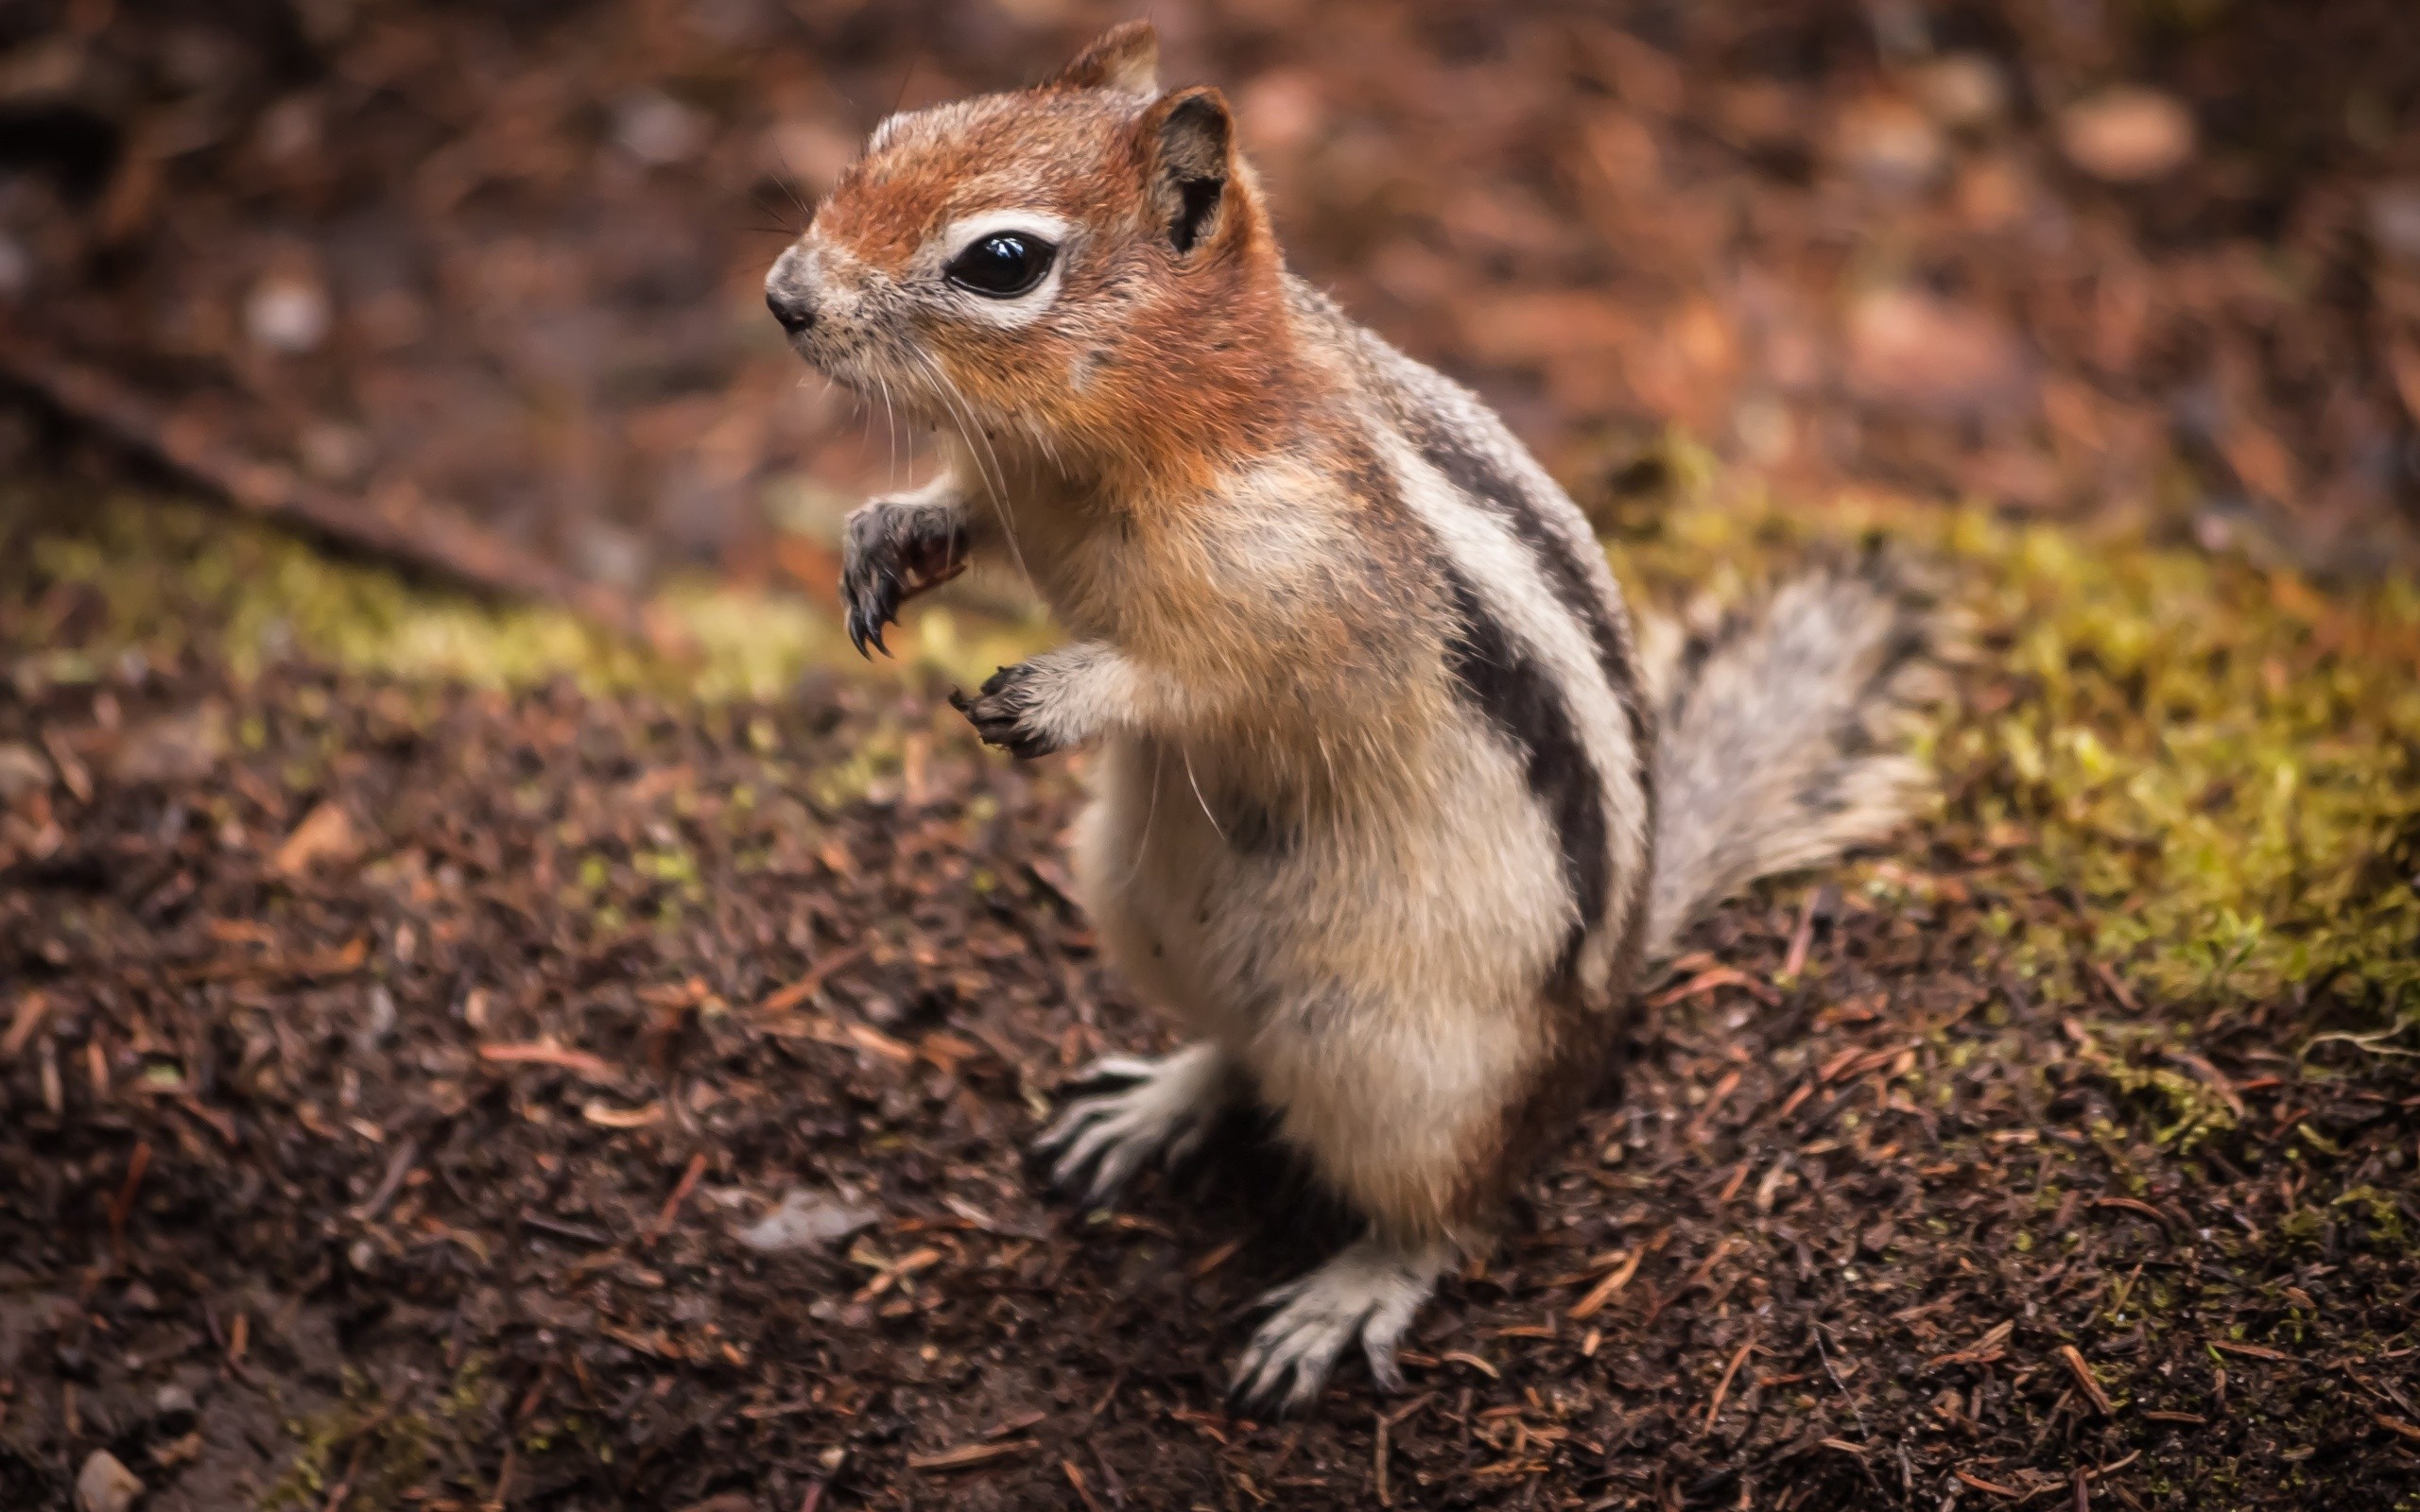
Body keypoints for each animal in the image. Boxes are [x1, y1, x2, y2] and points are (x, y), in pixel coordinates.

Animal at [764, 23, 1936, 1413]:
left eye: (1002, 261)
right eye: (892, 134)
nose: (783, 295)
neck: (1113, 436)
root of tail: (1605, 1009)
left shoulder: (1308, 582)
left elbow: (1201, 671)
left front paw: (1061, 691)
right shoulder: (1018, 488)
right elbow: (966, 512)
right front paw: (889, 532)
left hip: (1406, 1068)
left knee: (1454, 1202)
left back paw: (1354, 1287)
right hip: (1139, 908)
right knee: (1239, 1051)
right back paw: (1156, 1102)